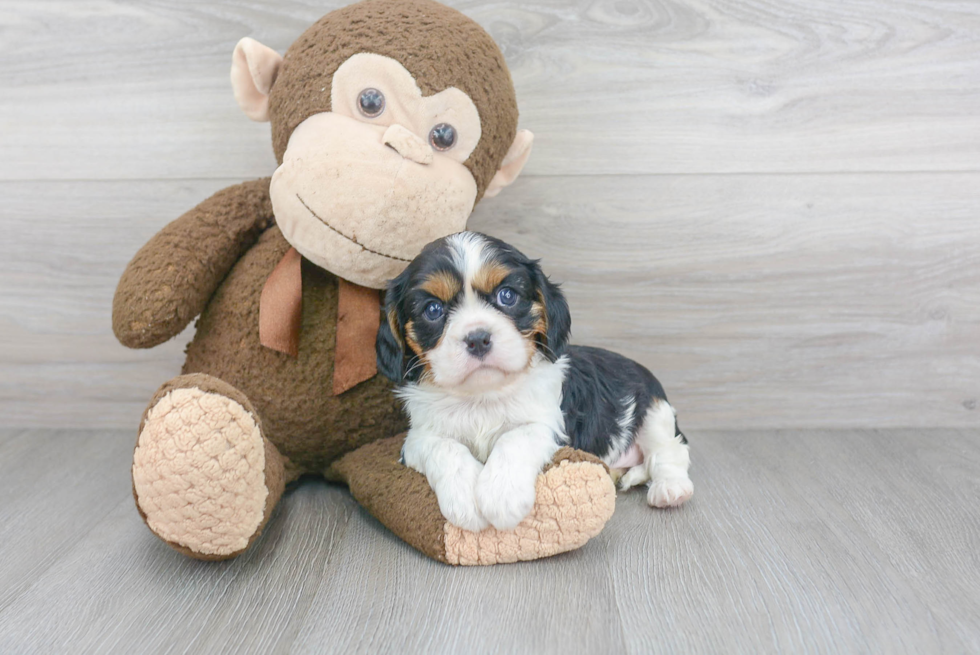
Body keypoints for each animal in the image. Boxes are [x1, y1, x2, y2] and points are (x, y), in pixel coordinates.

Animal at [374, 232, 688, 532]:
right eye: (433, 310)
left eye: (507, 296)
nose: (478, 338)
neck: (482, 394)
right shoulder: (418, 437)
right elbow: (445, 448)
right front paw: (465, 500)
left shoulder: (548, 424)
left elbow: (516, 438)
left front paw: (501, 496)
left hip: (654, 410)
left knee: (669, 450)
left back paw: (670, 489)